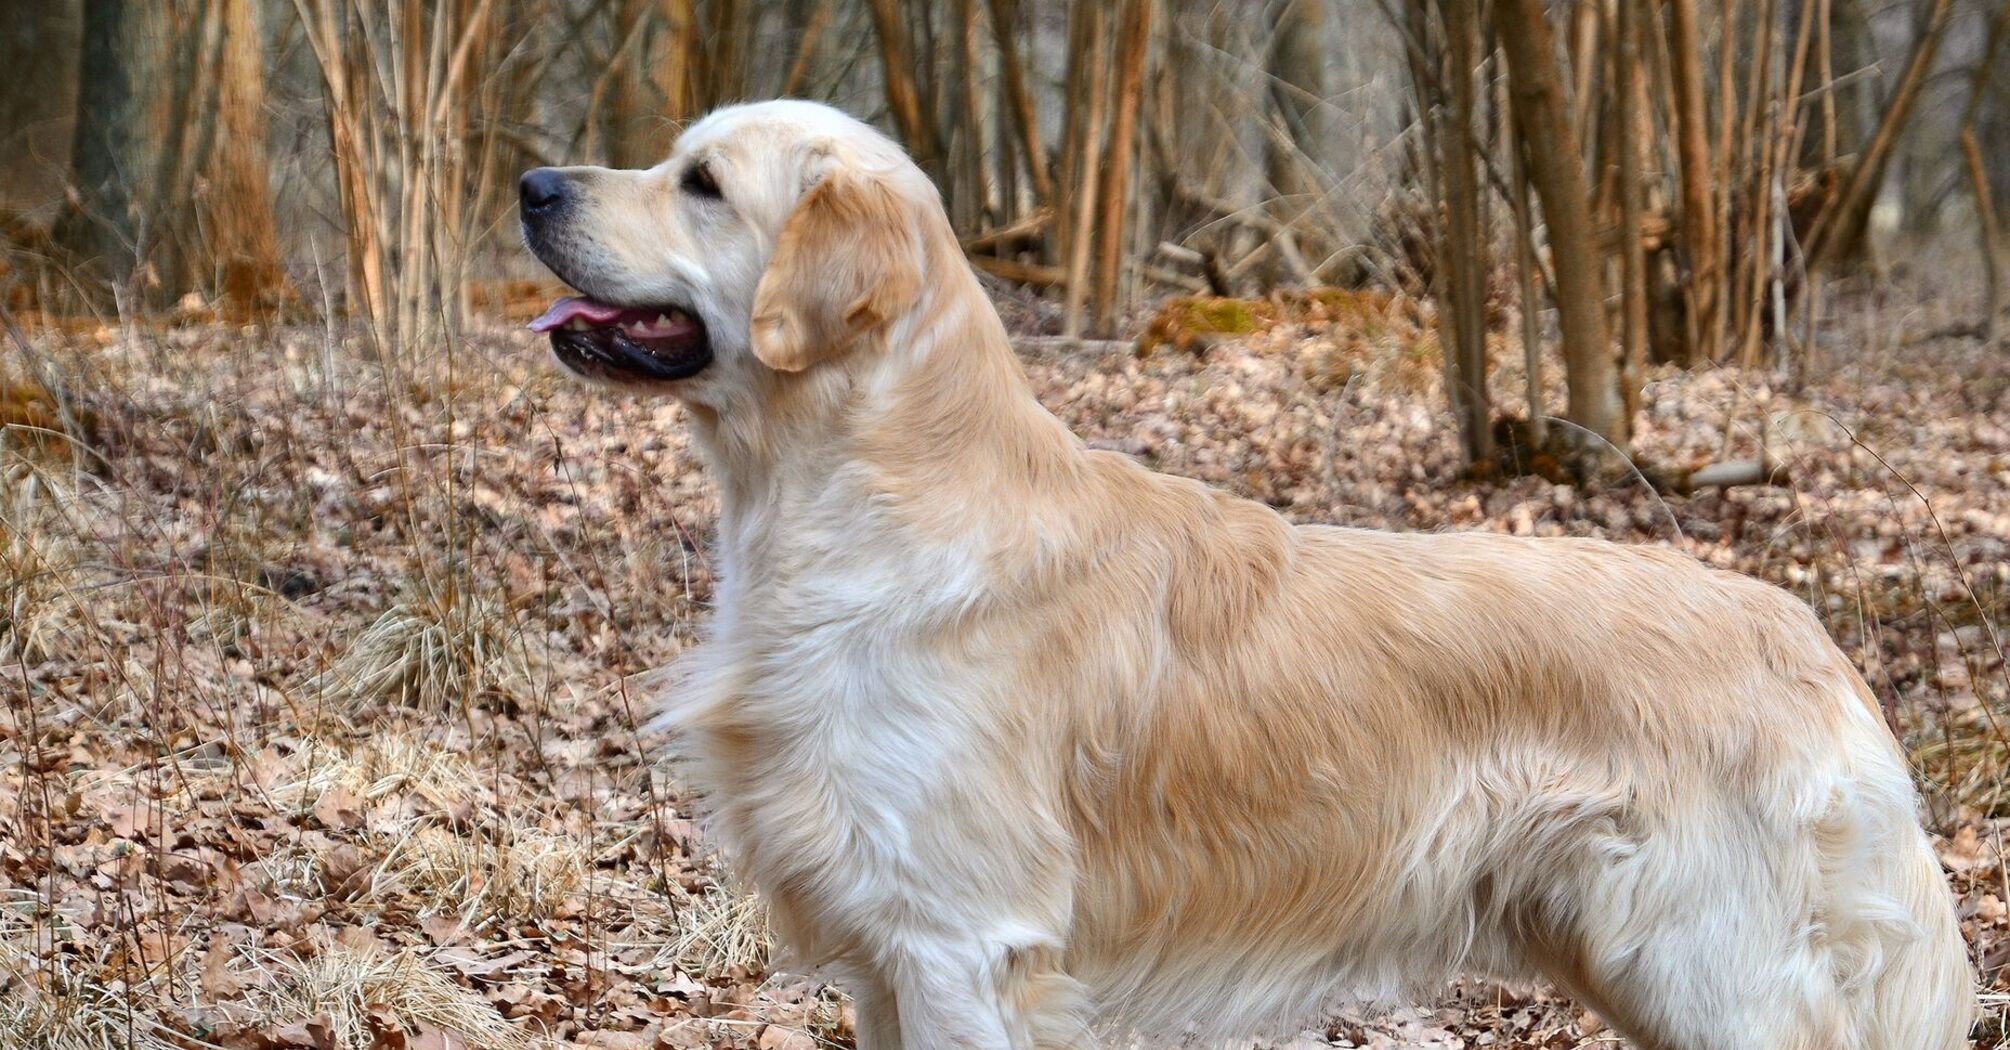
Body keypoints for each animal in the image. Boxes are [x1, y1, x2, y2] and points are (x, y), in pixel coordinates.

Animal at [522, 100, 1977, 1045]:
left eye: (702, 183)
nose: (535, 183)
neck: (870, 497)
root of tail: (1811, 639)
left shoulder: (962, 944)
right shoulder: (890, 956)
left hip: (1720, 976)